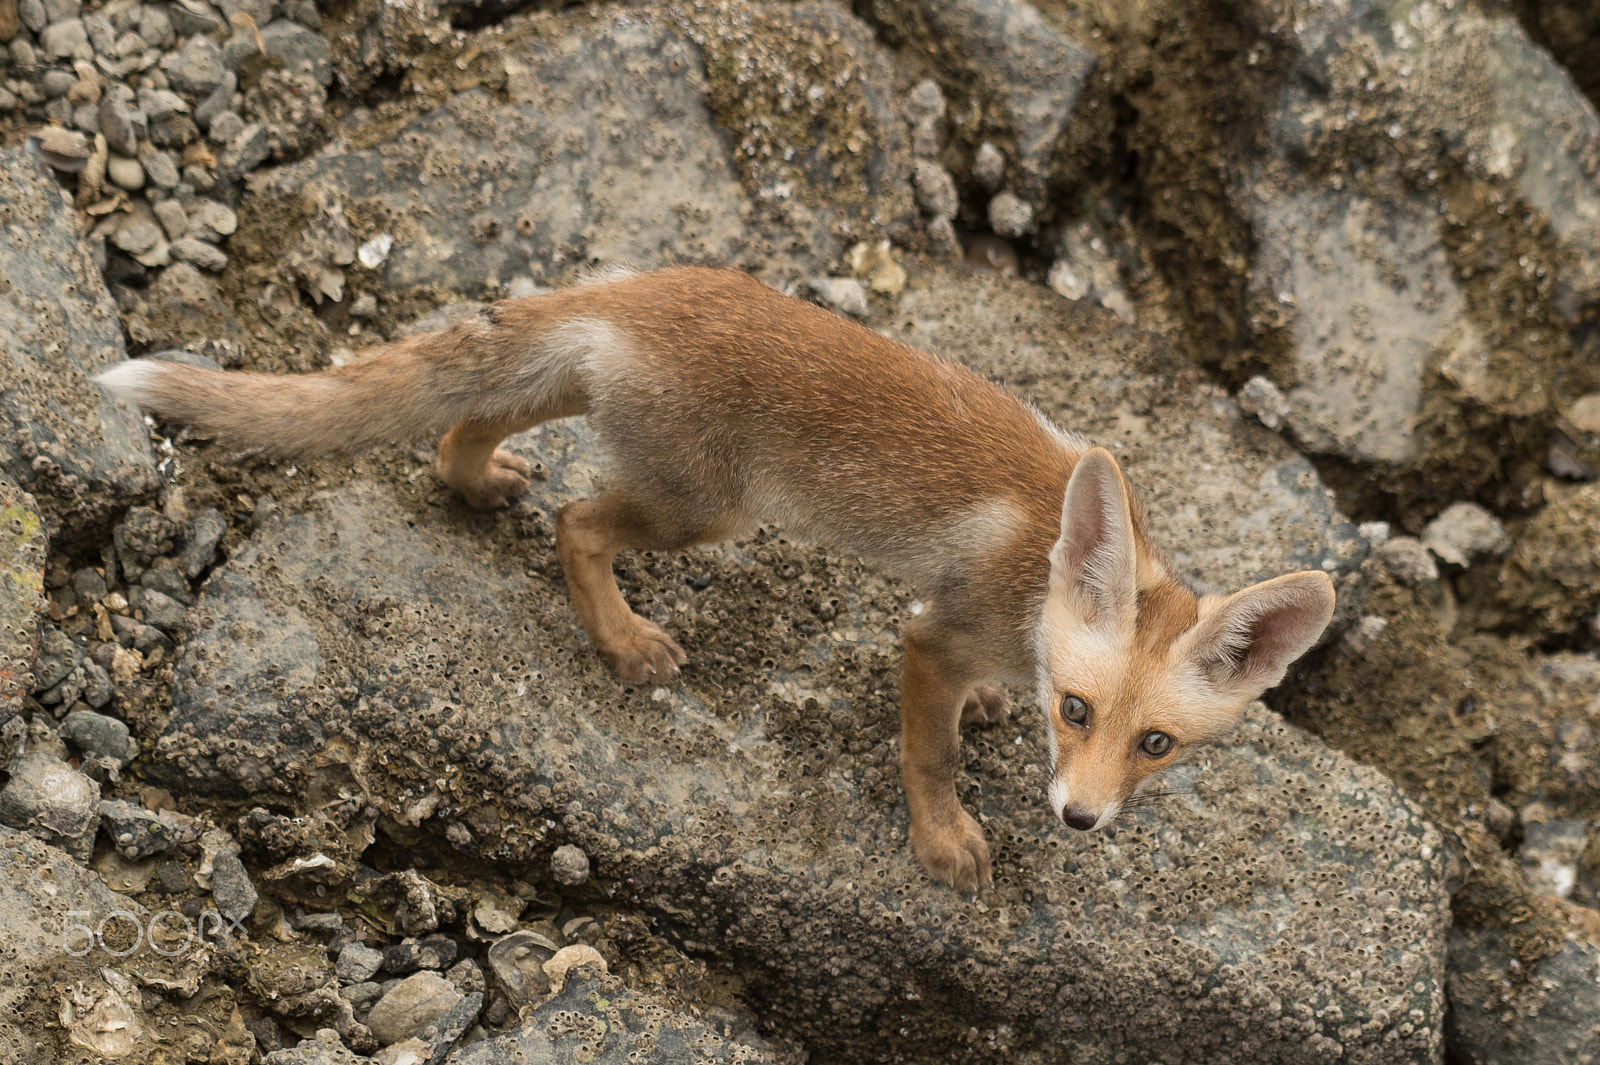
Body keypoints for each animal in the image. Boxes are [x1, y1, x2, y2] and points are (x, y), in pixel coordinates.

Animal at [96, 265, 1335, 892]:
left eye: (1156, 744)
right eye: (1077, 712)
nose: (1078, 820)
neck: (1033, 577)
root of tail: (636, 284)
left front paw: (991, 714)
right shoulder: (929, 636)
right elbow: (926, 754)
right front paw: (941, 841)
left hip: (602, 414)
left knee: (464, 426)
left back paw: (478, 481)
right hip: (703, 507)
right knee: (577, 523)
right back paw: (620, 640)